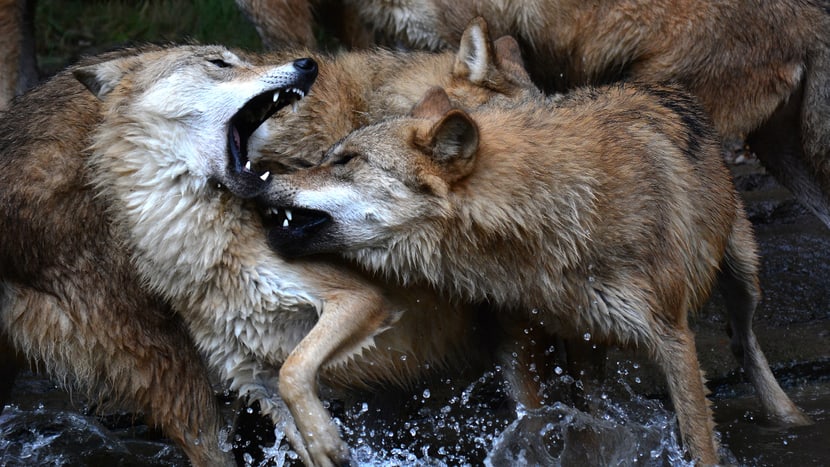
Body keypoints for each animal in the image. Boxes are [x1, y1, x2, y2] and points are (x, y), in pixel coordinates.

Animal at [79, 19, 540, 467]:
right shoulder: (251, 378)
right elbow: (291, 411)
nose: (306, 64)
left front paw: (328, 442)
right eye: (219, 63)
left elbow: (295, 370)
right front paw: (323, 446)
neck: (193, 244)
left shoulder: (356, 300)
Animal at [258, 85, 812, 464]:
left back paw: (788, 414)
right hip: (590, 343)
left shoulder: (673, 340)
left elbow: (699, 441)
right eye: (327, 156)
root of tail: (663, 89)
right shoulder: (520, 341)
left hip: (744, 275)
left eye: (346, 161)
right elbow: (537, 421)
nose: (261, 177)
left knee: (745, 339)